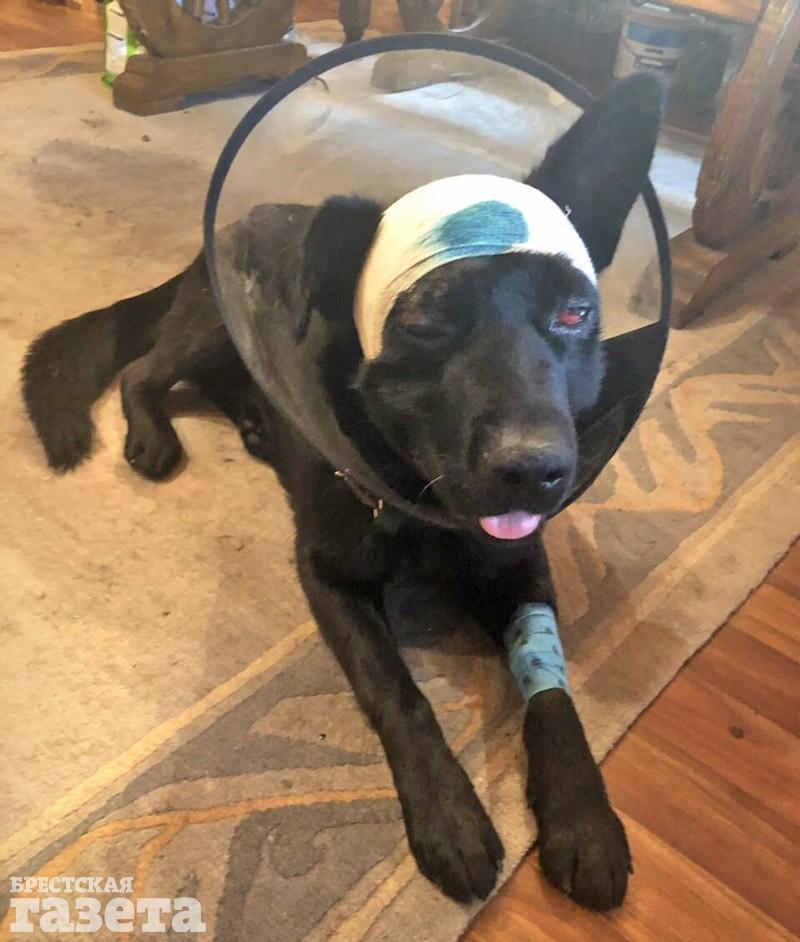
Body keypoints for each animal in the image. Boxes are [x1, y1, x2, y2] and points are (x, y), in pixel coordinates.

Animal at [23, 74, 663, 911]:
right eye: (422, 324)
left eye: (575, 313)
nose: (537, 471)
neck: (419, 506)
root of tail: (237, 224)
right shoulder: (329, 577)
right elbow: (399, 690)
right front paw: (449, 813)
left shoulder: (522, 567)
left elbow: (551, 688)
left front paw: (582, 815)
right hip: (209, 326)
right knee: (143, 371)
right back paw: (157, 435)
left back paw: (257, 424)